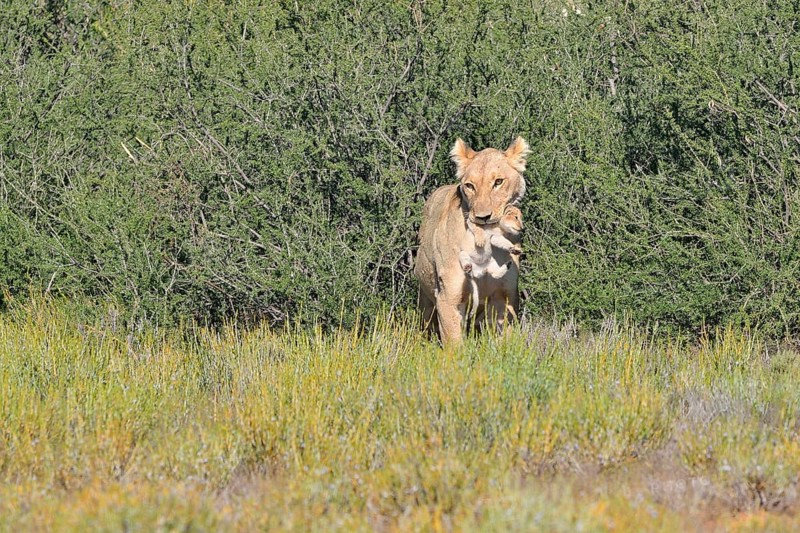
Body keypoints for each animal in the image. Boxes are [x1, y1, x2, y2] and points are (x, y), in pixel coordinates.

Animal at [415, 137, 530, 344]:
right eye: (470, 185)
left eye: (498, 182)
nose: (483, 217)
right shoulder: (449, 298)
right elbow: (454, 344)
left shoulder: (505, 299)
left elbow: (506, 342)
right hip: (426, 302)